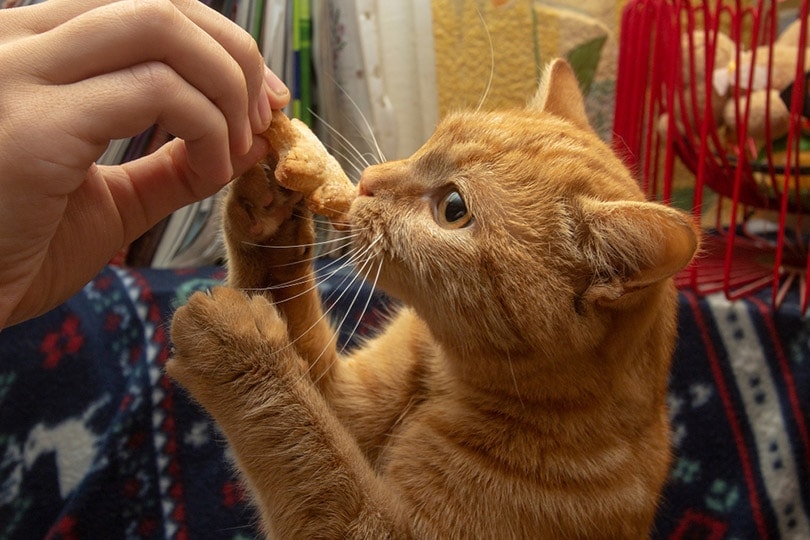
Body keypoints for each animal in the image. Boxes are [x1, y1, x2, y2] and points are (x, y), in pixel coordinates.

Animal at [167, 60, 696, 540]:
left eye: (453, 209)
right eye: (431, 139)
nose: (368, 181)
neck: (446, 379)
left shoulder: (376, 527)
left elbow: (306, 444)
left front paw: (243, 350)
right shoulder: (346, 401)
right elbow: (305, 380)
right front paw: (266, 210)